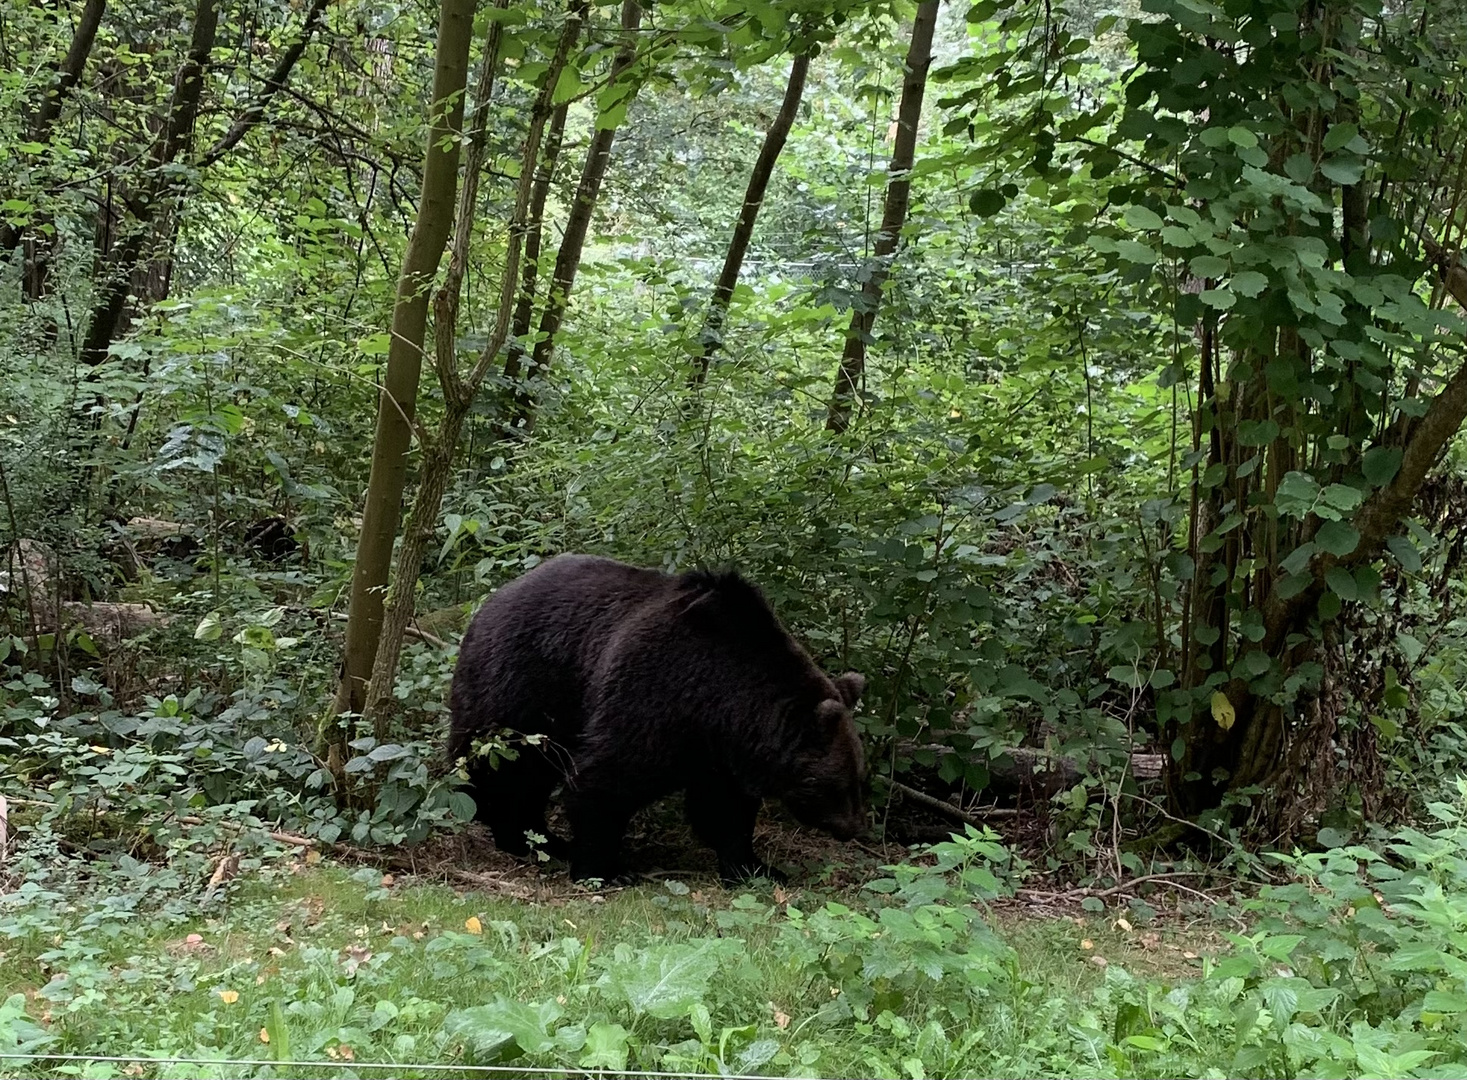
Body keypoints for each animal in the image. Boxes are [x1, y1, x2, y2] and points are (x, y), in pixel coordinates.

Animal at [440, 551, 862, 880]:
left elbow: (724, 810)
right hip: (520, 687)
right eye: (835, 782)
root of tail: (488, 602)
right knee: (502, 768)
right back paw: (516, 838)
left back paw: (547, 839)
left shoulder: (719, 748)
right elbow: (606, 779)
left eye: (859, 778)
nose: (851, 828)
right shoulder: (654, 693)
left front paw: (756, 867)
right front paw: (604, 868)